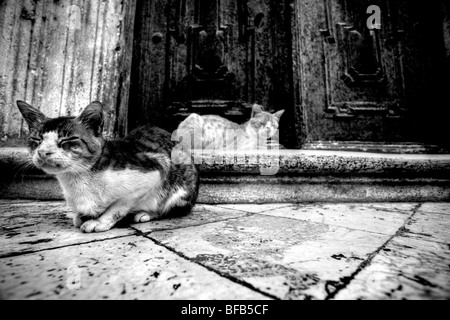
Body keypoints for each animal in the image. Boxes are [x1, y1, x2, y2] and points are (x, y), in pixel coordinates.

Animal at [15, 100, 199, 232]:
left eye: (67, 139)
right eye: (37, 139)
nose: (43, 152)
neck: (78, 179)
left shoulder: (155, 169)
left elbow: (118, 206)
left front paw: (99, 221)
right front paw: (80, 216)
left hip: (181, 189)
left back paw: (145, 214)